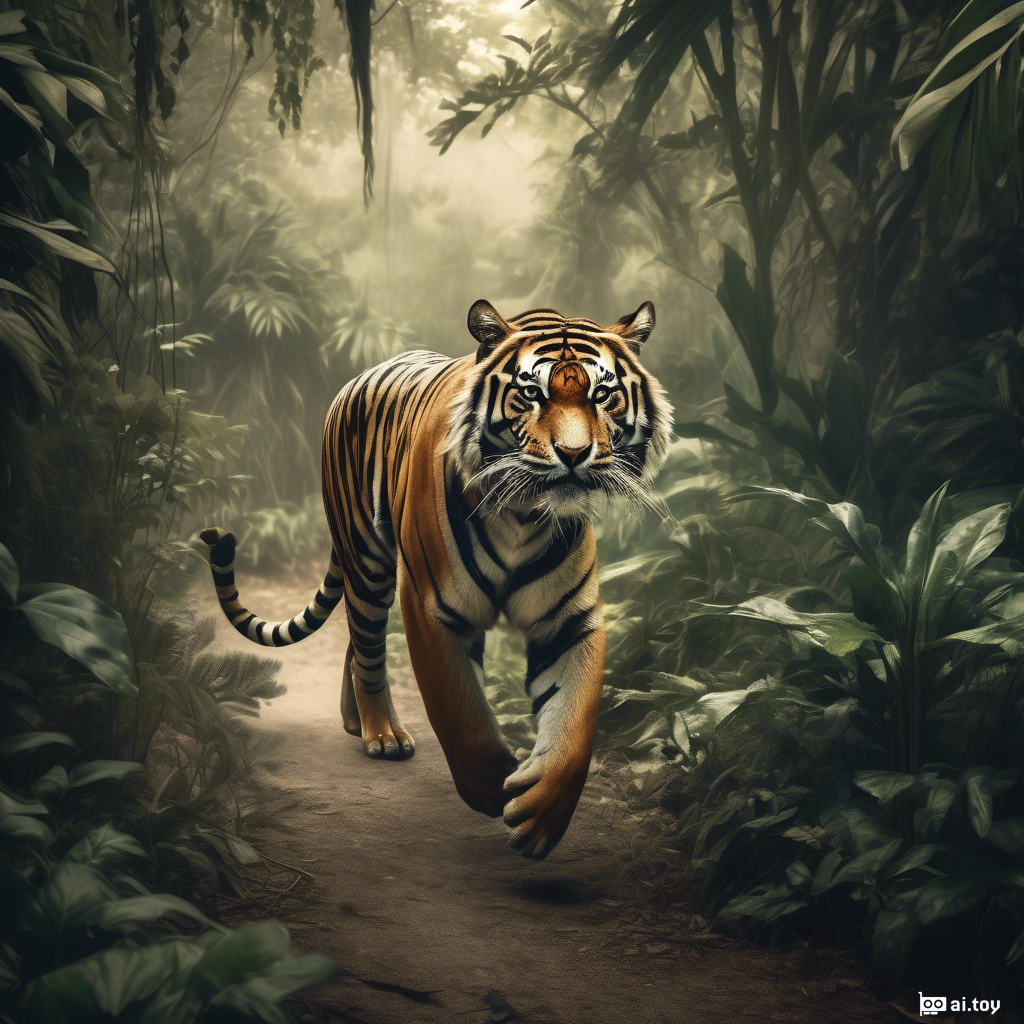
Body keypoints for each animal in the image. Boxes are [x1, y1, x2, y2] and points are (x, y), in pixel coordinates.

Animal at [199, 299, 672, 859]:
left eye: (603, 395)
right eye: (531, 393)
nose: (574, 455)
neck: (523, 515)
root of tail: (357, 376)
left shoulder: (569, 619)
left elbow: (574, 721)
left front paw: (542, 813)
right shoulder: (432, 604)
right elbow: (458, 709)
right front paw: (491, 785)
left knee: (356, 644)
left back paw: (355, 721)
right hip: (367, 560)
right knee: (367, 645)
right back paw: (381, 734)